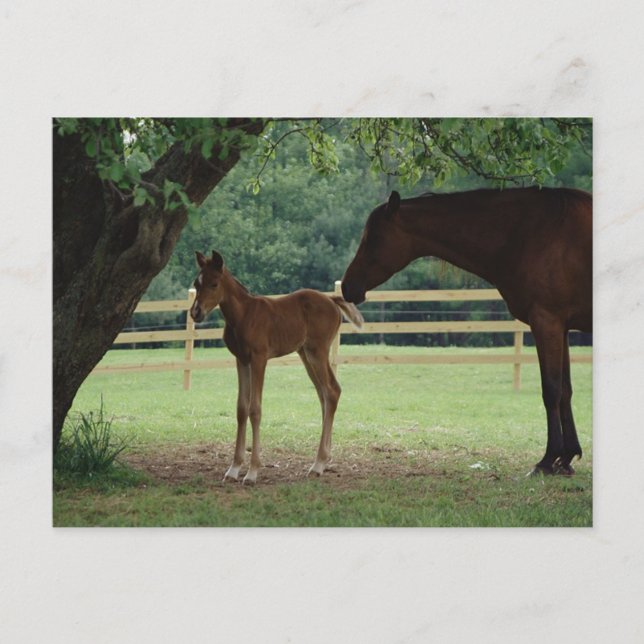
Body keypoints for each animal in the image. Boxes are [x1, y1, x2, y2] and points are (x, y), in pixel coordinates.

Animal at [190, 250, 364, 485]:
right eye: (196, 283)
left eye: (214, 284)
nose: (195, 313)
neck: (243, 315)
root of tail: (330, 298)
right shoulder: (241, 360)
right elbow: (241, 408)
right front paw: (233, 469)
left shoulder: (259, 359)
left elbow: (255, 409)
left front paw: (252, 472)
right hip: (305, 354)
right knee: (325, 394)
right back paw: (324, 460)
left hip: (317, 351)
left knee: (332, 391)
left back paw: (318, 464)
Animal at [341, 187, 592, 476]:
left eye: (373, 238)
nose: (347, 286)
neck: (531, 232)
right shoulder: (561, 328)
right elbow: (565, 390)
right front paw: (567, 457)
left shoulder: (546, 323)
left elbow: (551, 390)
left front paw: (548, 460)